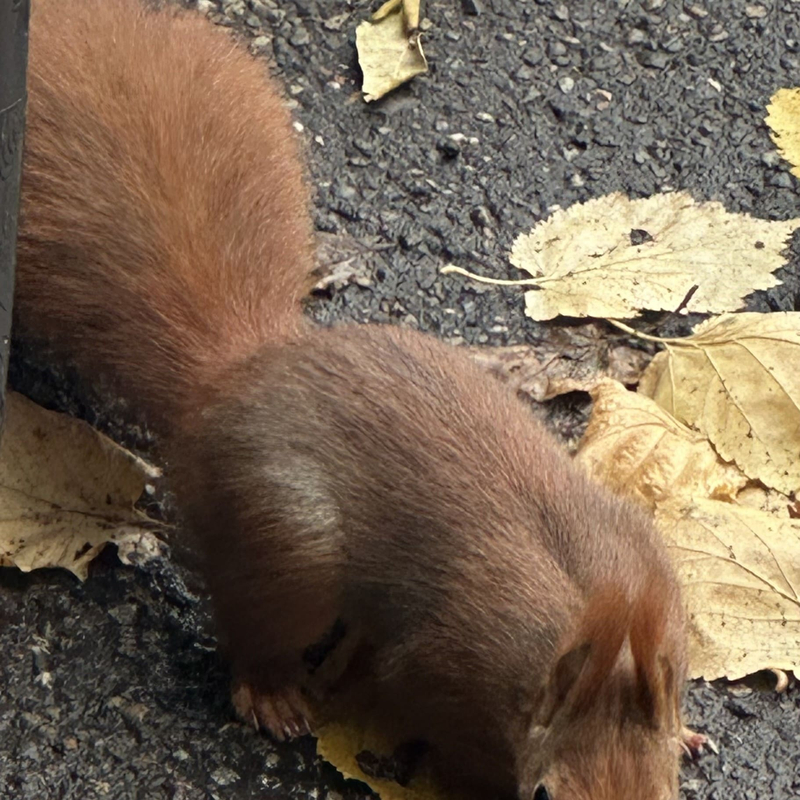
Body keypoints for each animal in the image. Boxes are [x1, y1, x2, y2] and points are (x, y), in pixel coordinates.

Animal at [15, 0, 706, 797]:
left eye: (665, 792)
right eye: (541, 793)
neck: (595, 616)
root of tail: (231, 378)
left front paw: (688, 730)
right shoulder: (451, 664)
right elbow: (443, 723)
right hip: (284, 539)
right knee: (253, 620)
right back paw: (271, 691)